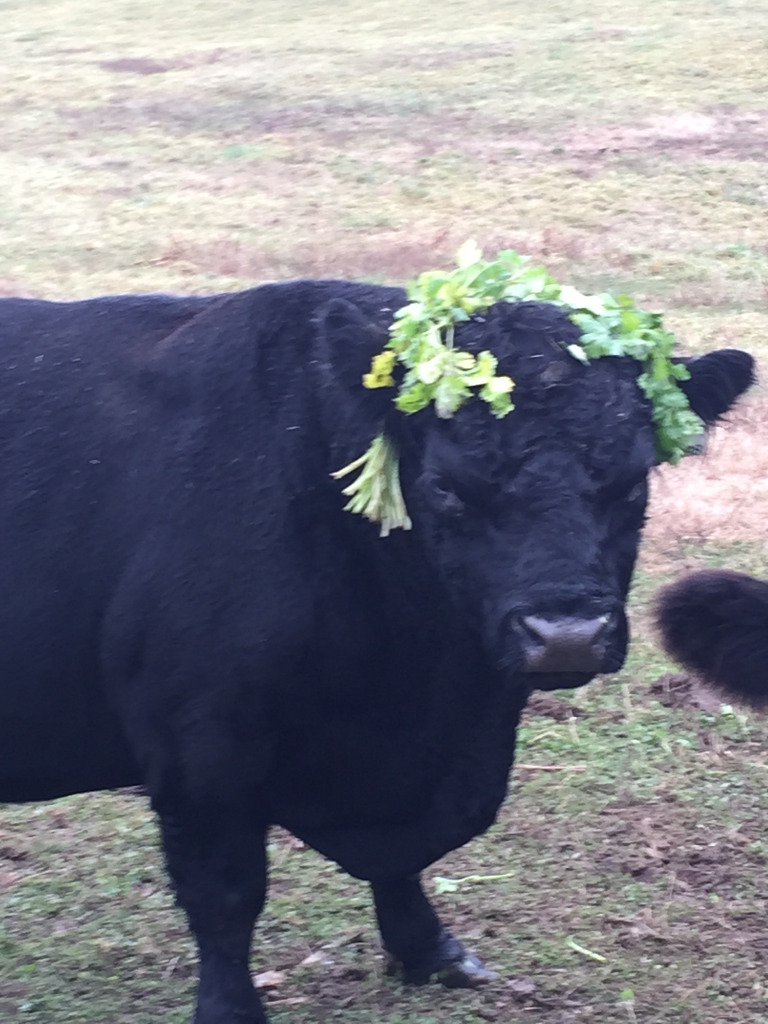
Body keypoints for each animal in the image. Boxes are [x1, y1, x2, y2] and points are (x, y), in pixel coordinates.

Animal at [0, 280, 757, 1024]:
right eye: (445, 485)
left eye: (633, 482)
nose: (565, 633)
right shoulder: (199, 748)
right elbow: (225, 896)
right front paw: (230, 1008)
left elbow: (410, 859)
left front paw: (431, 952)